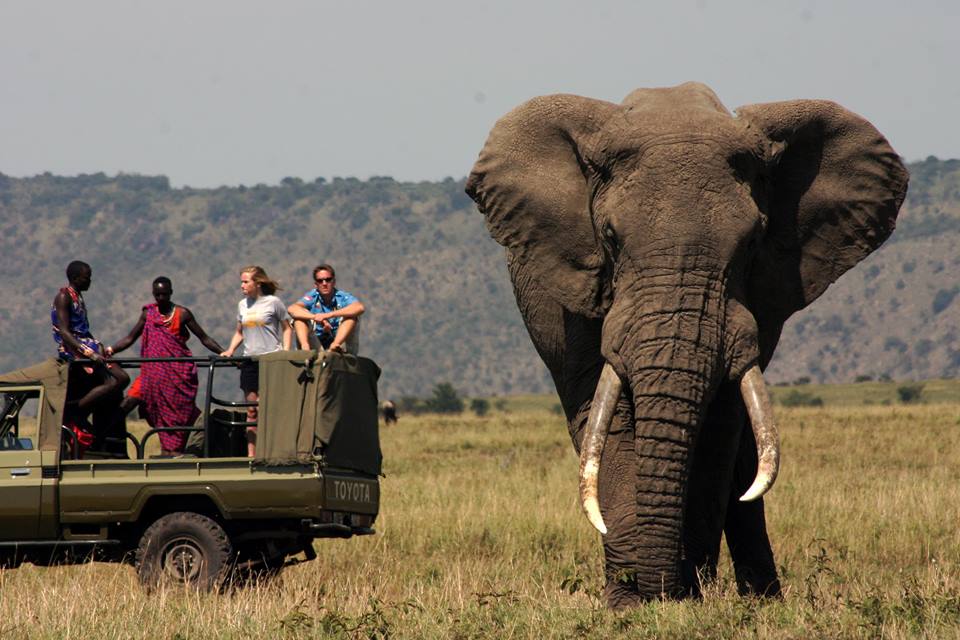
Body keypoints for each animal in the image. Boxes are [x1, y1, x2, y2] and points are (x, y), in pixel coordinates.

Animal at [466, 82, 908, 608]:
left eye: (752, 243)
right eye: (610, 238)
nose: (661, 591)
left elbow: (716, 427)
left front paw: (686, 598)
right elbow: (609, 414)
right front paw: (630, 604)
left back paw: (762, 599)